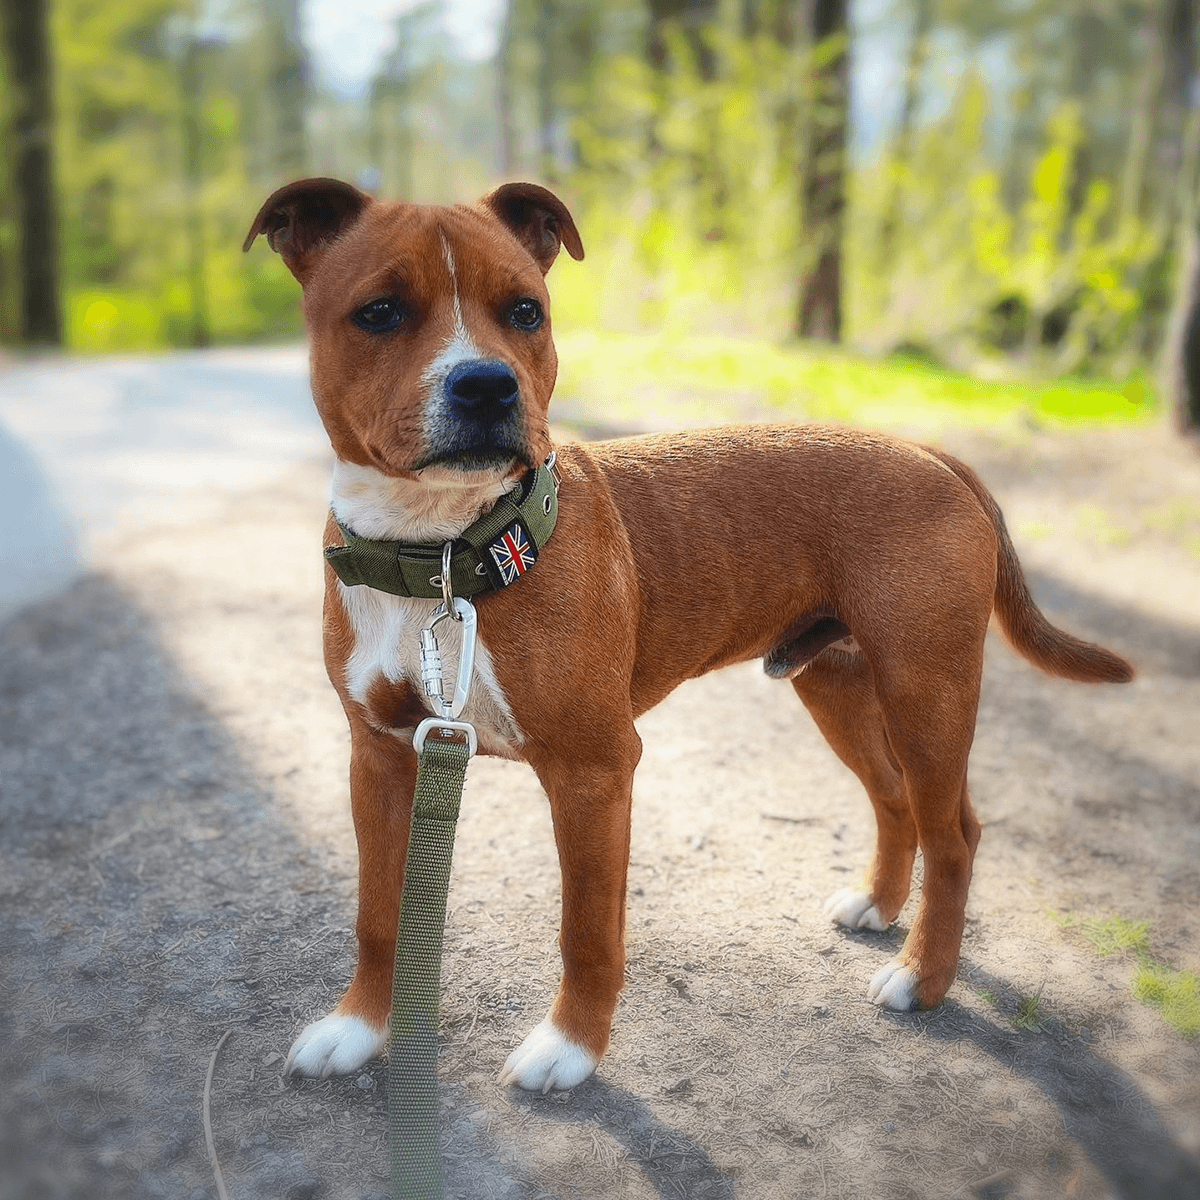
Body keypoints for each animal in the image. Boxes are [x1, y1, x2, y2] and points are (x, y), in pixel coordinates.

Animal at [243, 180, 1132, 1099]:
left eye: (526, 310)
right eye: (379, 312)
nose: (487, 385)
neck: (446, 554)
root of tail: (927, 451)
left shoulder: (594, 772)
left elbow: (586, 931)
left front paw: (571, 1048)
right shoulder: (380, 758)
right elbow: (378, 914)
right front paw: (358, 1028)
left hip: (927, 693)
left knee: (954, 835)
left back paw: (924, 977)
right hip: (838, 687)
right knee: (895, 803)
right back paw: (881, 907)